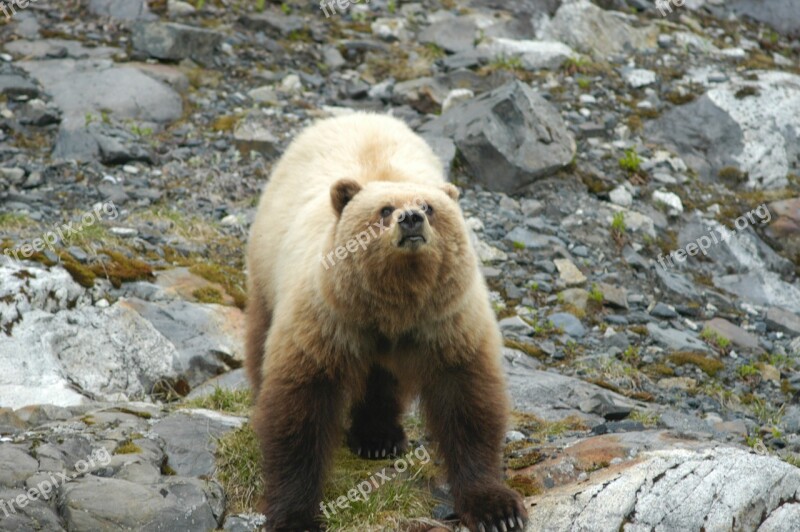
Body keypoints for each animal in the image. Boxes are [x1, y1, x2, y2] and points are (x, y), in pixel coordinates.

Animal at [247, 113, 528, 532]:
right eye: (383, 209)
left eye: (428, 206)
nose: (410, 218)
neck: (394, 303)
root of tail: (355, 114)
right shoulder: (326, 319)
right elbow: (300, 407)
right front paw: (295, 516)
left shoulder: (446, 322)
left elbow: (467, 400)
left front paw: (497, 508)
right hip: (267, 263)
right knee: (261, 334)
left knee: (382, 378)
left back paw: (379, 436)